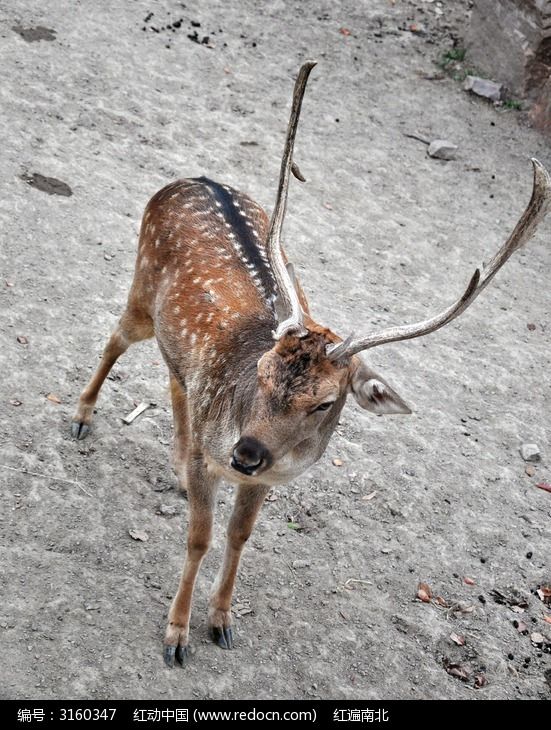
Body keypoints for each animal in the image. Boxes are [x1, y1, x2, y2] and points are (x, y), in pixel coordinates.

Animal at [71, 62, 551, 664]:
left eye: (324, 402)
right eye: (260, 374)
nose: (246, 452)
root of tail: (190, 178)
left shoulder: (265, 477)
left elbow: (239, 536)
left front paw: (221, 621)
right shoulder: (218, 454)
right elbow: (199, 538)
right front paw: (176, 637)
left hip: (177, 345)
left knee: (175, 379)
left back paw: (175, 467)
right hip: (141, 288)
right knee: (115, 338)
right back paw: (82, 417)